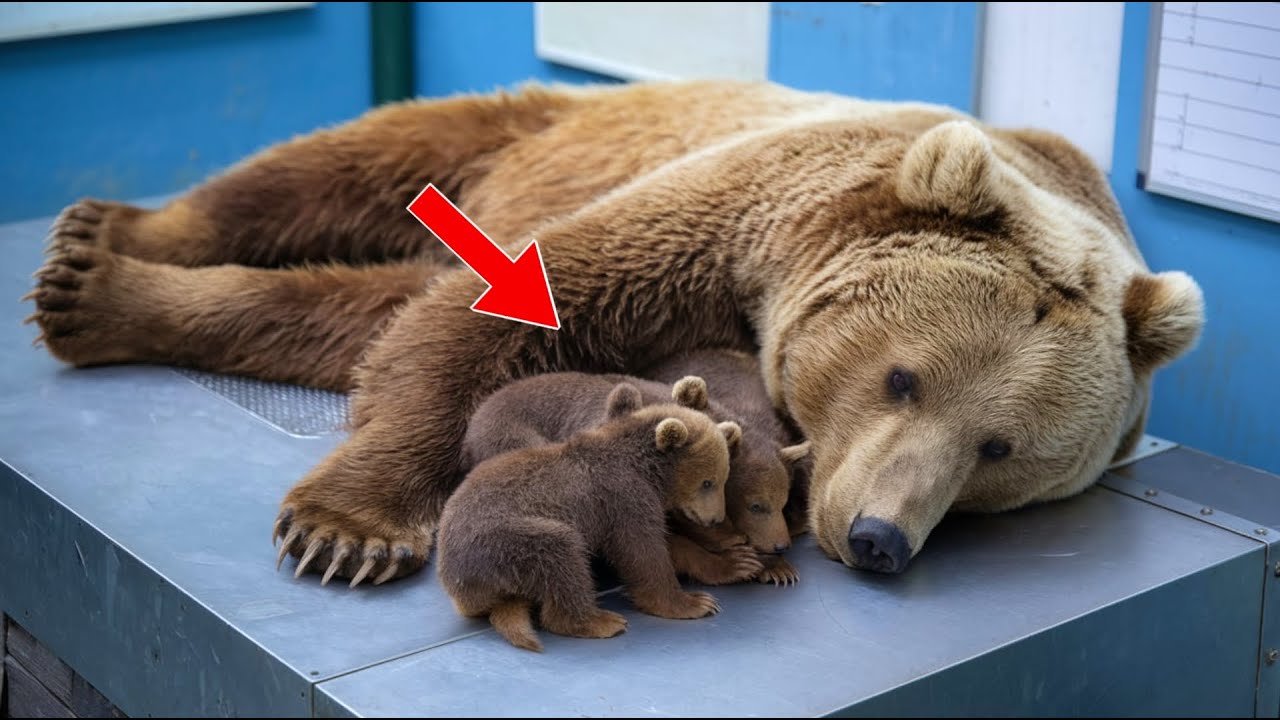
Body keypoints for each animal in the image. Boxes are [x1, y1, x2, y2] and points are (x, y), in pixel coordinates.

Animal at [437, 383, 739, 652]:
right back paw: (600, 621)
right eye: (708, 482)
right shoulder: (623, 499)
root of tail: (457, 590)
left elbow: (667, 544)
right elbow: (642, 552)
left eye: (722, 479)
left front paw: (733, 563)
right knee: (559, 552)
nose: (715, 519)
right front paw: (696, 602)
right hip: (499, 542)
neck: (644, 470)